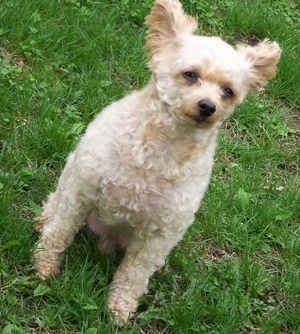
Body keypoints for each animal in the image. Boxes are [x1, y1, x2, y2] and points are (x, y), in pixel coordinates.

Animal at [33, 0, 282, 324]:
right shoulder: (81, 192)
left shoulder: (160, 235)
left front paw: (120, 308)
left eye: (228, 91)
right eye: (190, 74)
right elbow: (59, 233)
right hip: (71, 174)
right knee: (55, 204)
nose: (208, 106)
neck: (160, 149)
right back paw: (43, 219)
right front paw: (44, 267)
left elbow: (134, 274)